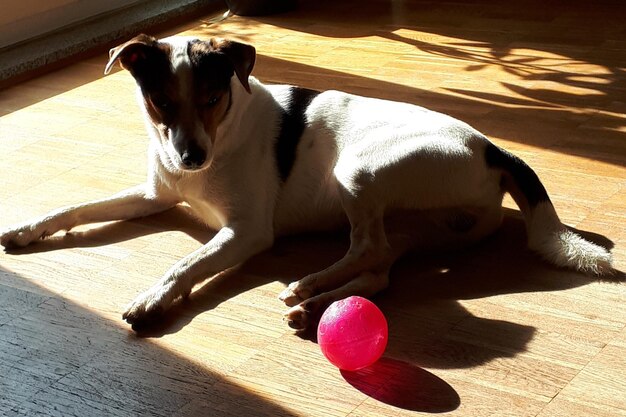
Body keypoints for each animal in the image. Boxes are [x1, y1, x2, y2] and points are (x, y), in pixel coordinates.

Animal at [0, 34, 612, 330]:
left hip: (360, 170)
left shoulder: (248, 232)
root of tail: (493, 149)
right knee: (380, 269)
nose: (190, 158)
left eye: (213, 97)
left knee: (366, 248)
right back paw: (318, 302)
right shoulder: (155, 195)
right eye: (161, 102)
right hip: (418, 228)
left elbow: (186, 263)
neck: (222, 135)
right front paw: (28, 228)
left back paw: (309, 286)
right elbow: (76, 209)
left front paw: (155, 297)